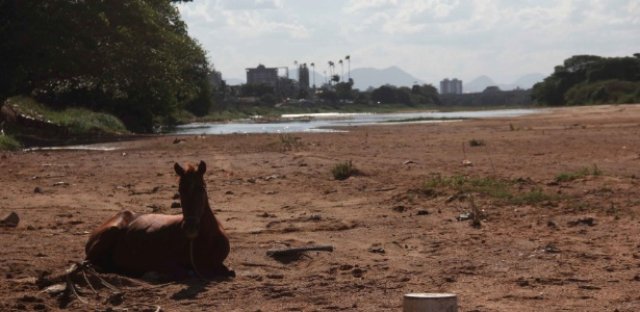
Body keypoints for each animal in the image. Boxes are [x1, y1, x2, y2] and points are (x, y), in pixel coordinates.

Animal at [85, 161, 234, 280]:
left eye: (201, 188)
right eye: (180, 190)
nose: (190, 228)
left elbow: (231, 271)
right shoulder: (166, 262)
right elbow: (185, 272)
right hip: (111, 231)